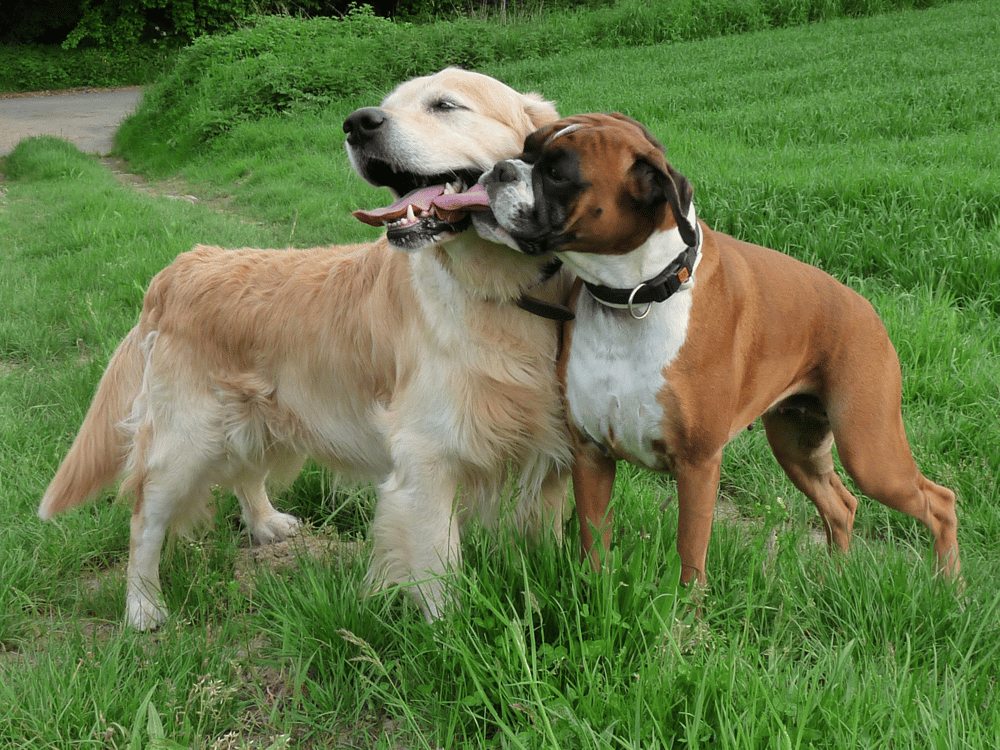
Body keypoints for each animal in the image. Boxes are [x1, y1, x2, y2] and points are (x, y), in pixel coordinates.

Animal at [41, 70, 572, 628]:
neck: (499, 293)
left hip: (254, 416)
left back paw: (265, 523)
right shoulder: (427, 462)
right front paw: (451, 636)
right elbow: (440, 579)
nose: (358, 123)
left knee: (243, 473)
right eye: (386, 104)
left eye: (445, 105)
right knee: (144, 520)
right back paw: (144, 607)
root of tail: (182, 265)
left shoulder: (552, 453)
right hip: (184, 439)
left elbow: (550, 544)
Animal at [476, 113, 960, 588]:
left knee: (939, 501)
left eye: (558, 173)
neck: (635, 297)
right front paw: (594, 597)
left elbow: (690, 561)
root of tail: (864, 306)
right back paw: (835, 580)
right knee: (842, 505)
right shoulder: (591, 455)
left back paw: (950, 588)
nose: (499, 169)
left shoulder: (697, 466)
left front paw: (685, 614)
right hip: (798, 447)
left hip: (870, 455)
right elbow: (594, 549)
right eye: (525, 148)